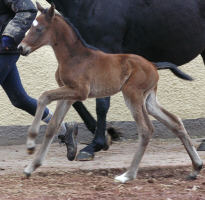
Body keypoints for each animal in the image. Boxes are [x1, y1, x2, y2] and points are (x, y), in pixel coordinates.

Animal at [18, 3, 203, 184]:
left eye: (39, 28)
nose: (21, 47)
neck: (74, 57)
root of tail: (153, 64)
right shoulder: (69, 96)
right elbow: (52, 125)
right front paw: (31, 167)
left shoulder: (79, 91)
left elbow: (44, 96)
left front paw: (30, 144)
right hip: (149, 100)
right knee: (175, 122)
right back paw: (196, 167)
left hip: (132, 94)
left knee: (146, 129)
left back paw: (128, 175)